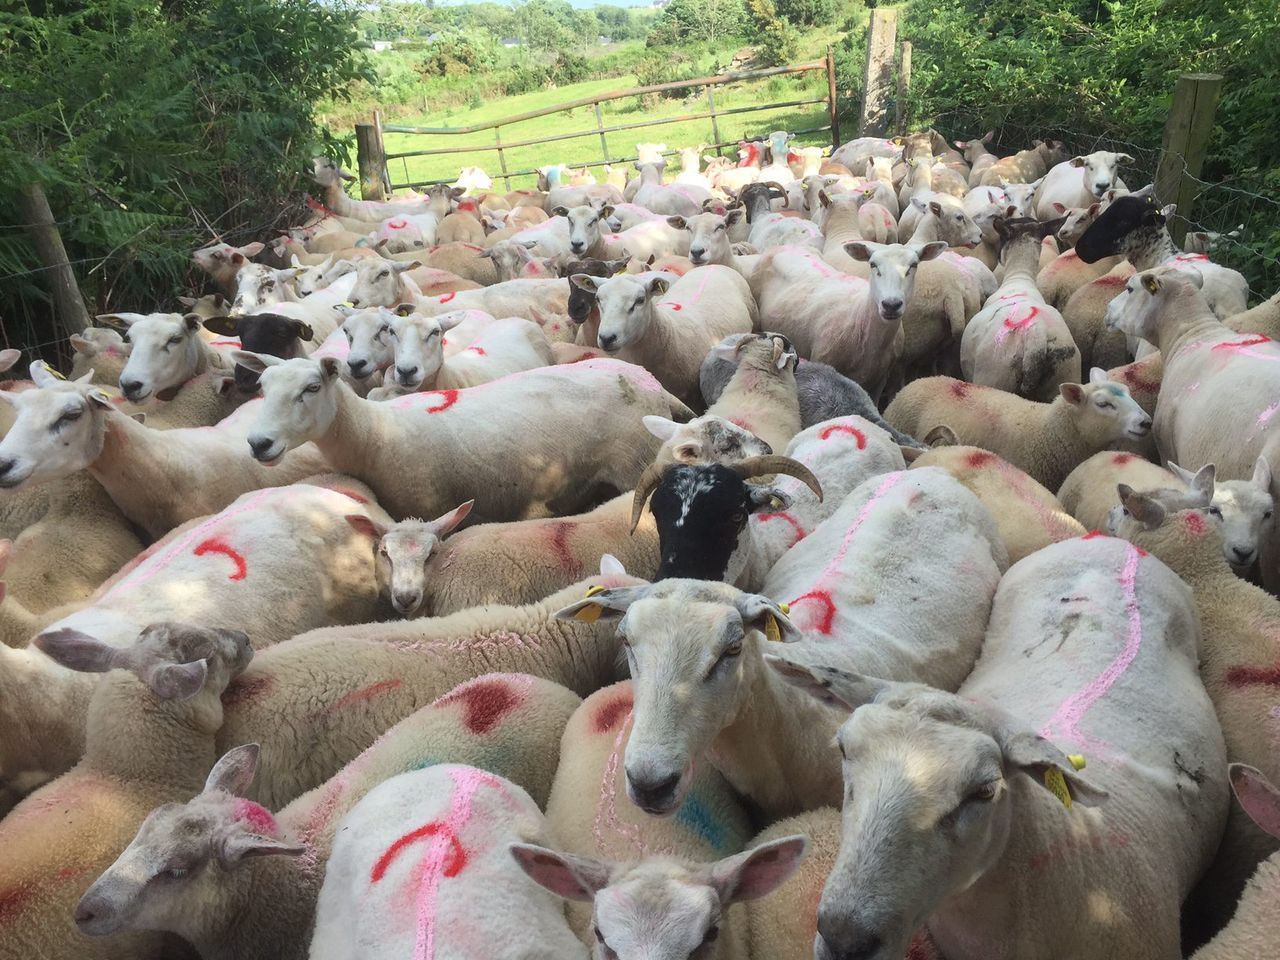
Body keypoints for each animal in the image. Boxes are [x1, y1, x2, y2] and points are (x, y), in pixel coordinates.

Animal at [237, 353, 690, 523]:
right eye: (261, 385)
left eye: (312, 387)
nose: (258, 443)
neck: (375, 437)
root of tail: (649, 381)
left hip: (634, 465)